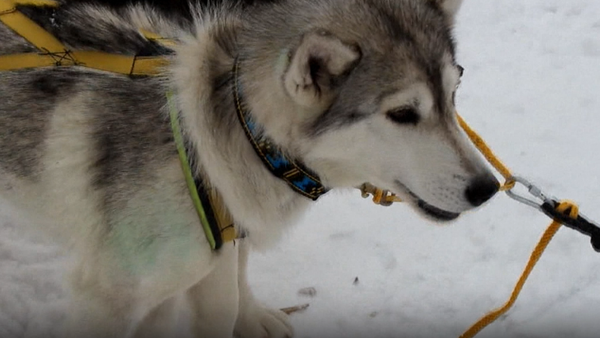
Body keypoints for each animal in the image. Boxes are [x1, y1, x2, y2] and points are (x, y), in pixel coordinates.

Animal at [0, 0, 496, 336]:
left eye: (453, 94)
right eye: (403, 113)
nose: (488, 187)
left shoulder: (218, 246)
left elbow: (232, 280)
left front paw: (251, 316)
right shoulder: (107, 297)